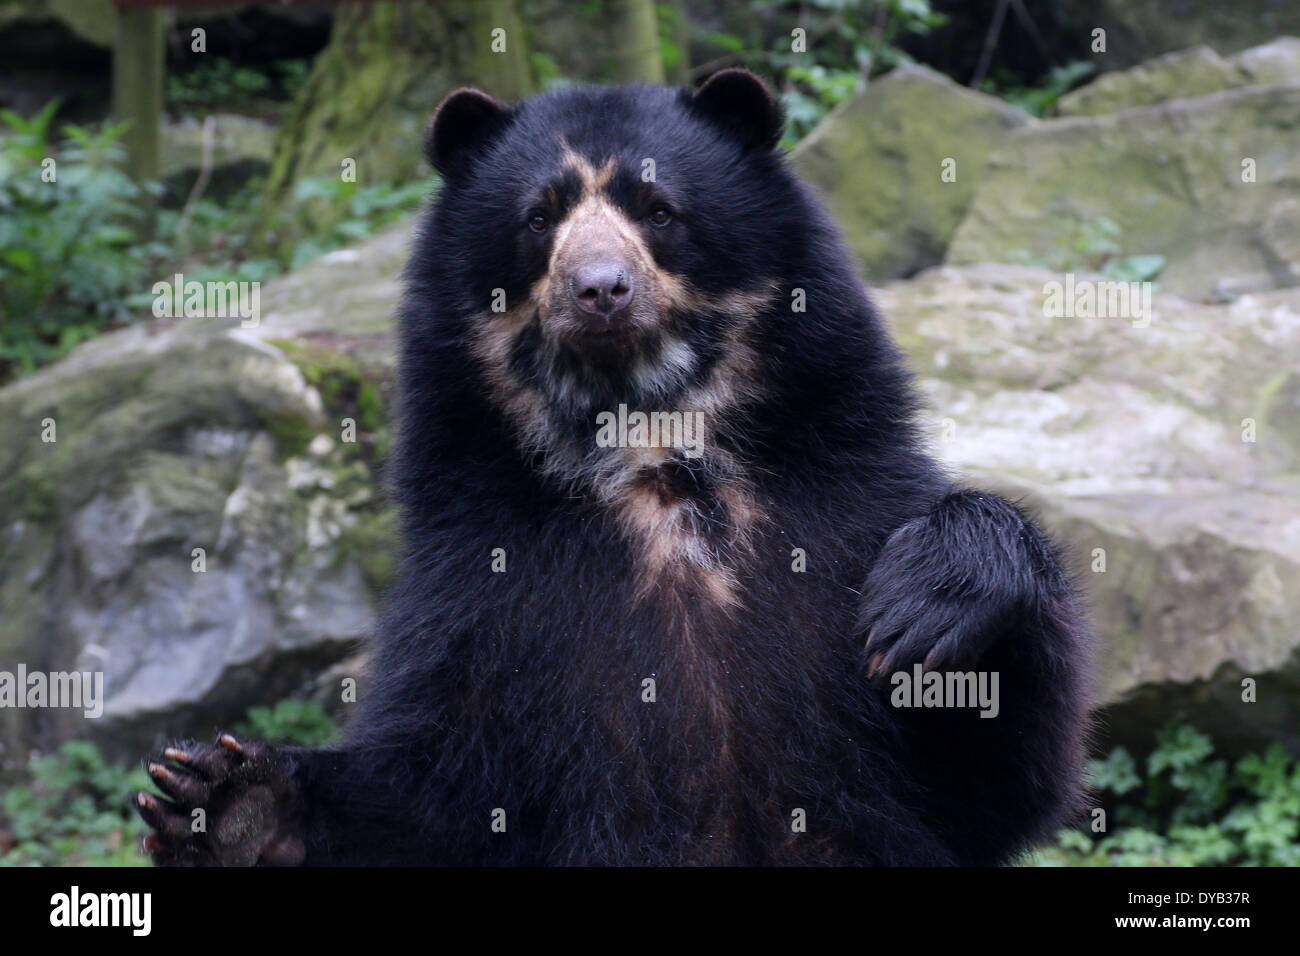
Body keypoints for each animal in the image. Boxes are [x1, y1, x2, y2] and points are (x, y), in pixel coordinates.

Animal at [135, 69, 1094, 866]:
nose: (600, 288)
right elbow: (434, 794)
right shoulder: (483, 589)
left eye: (658, 208)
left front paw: (927, 607)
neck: (652, 451)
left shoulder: (842, 511)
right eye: (539, 218)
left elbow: (993, 778)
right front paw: (227, 802)